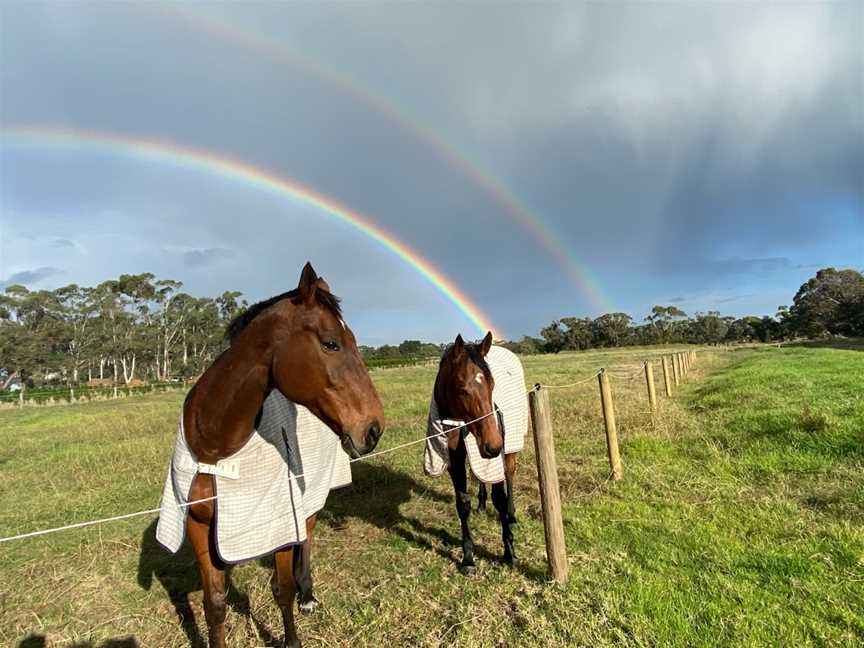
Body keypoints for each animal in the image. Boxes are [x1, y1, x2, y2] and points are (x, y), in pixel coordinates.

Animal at [184, 264, 384, 648]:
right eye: (331, 343)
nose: (373, 429)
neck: (216, 447)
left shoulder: (278, 524)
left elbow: (282, 590)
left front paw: (293, 632)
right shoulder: (198, 527)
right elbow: (214, 606)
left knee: (305, 538)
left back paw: (308, 595)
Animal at [436, 334, 516, 572]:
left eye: (492, 384)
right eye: (462, 388)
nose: (493, 445)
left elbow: (500, 498)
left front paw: (509, 551)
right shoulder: (455, 461)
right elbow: (462, 504)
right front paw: (468, 558)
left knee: (510, 474)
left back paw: (512, 514)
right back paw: (481, 504)